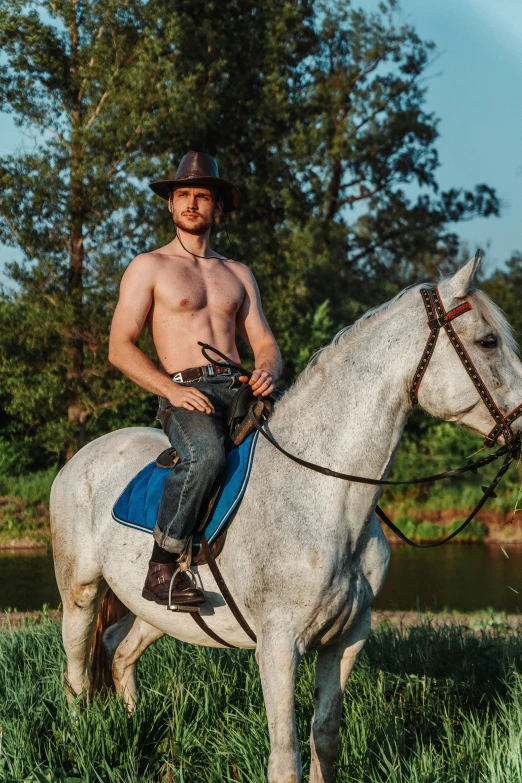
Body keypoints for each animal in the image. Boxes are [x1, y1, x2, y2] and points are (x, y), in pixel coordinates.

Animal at [48, 258, 520, 783]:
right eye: (488, 341)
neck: (324, 497)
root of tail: (80, 458)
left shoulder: (347, 639)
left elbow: (325, 737)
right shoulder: (277, 647)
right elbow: (284, 757)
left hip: (158, 611)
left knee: (119, 649)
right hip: (80, 592)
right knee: (76, 672)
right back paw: (77, 739)